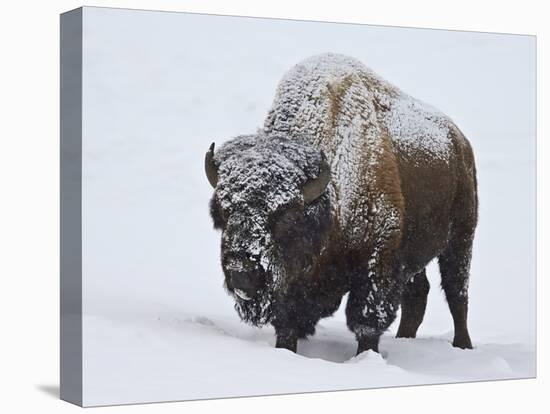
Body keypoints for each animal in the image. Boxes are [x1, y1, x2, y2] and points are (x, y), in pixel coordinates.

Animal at [207, 53, 478, 354]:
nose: (241, 272)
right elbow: (287, 323)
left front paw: (366, 356)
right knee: (418, 294)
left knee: (457, 293)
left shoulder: (377, 262)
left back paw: (463, 345)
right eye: (223, 212)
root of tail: (460, 142)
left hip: (461, 238)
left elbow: (366, 322)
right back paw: (404, 339)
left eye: (286, 216)